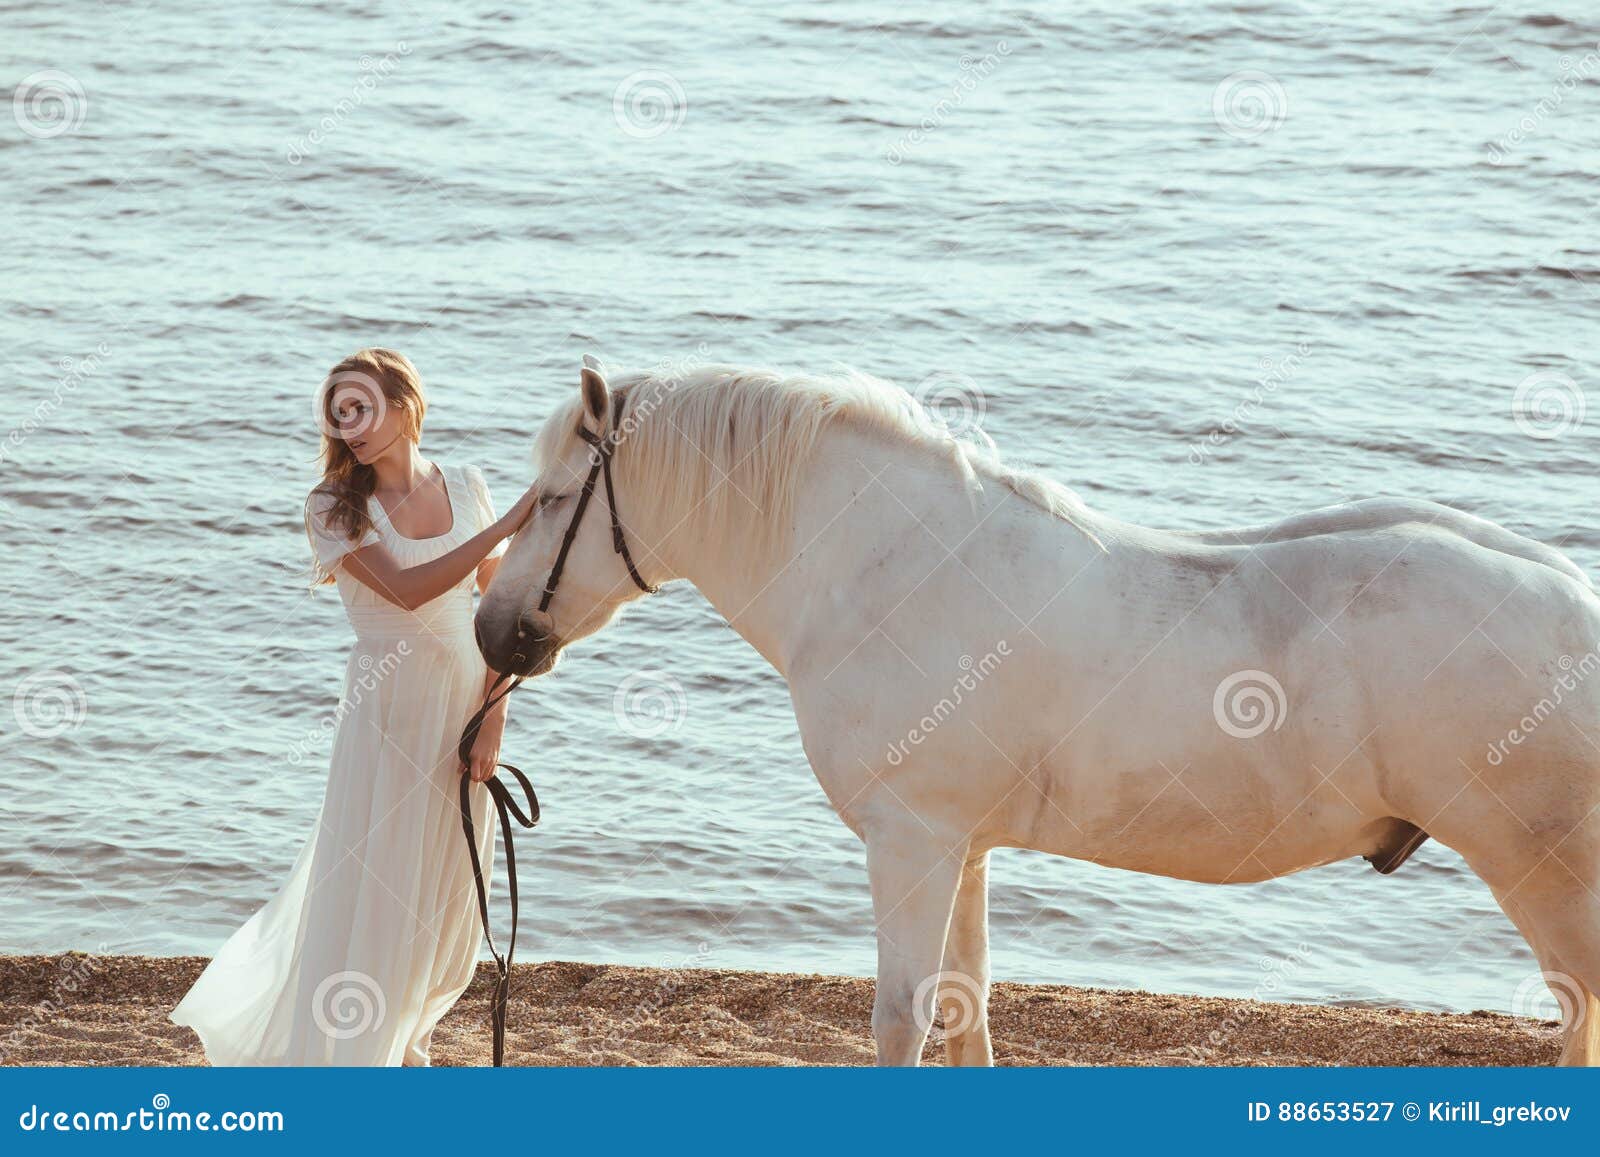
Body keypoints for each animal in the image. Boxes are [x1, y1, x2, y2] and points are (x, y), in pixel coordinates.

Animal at [475, 357, 1600, 1066]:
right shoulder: (962, 848)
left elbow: (903, 1017)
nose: (492, 632)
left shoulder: (911, 840)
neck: (892, 564)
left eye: (552, 497)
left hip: (1539, 870)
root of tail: (1576, 601)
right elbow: (967, 1009)